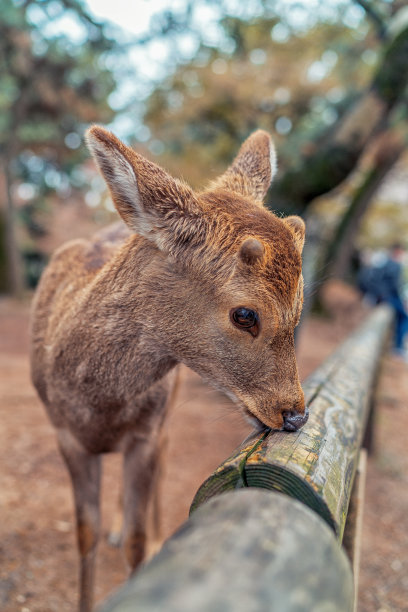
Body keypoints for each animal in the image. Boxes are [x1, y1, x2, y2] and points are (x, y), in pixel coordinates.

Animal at [30, 126, 308, 608]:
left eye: (301, 306)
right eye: (245, 314)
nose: (295, 413)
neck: (96, 401)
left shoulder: (146, 432)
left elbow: (138, 539)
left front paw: (145, 544)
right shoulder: (64, 434)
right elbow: (85, 534)